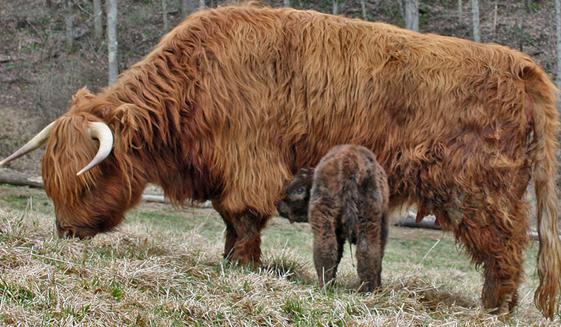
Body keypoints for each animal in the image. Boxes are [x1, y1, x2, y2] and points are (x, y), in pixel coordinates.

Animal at [276, 145, 390, 294]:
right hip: (365, 221)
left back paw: (327, 286)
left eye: (299, 189)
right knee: (366, 252)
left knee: (328, 249)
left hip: (327, 219)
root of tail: (349, 161)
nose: (278, 204)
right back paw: (368, 291)